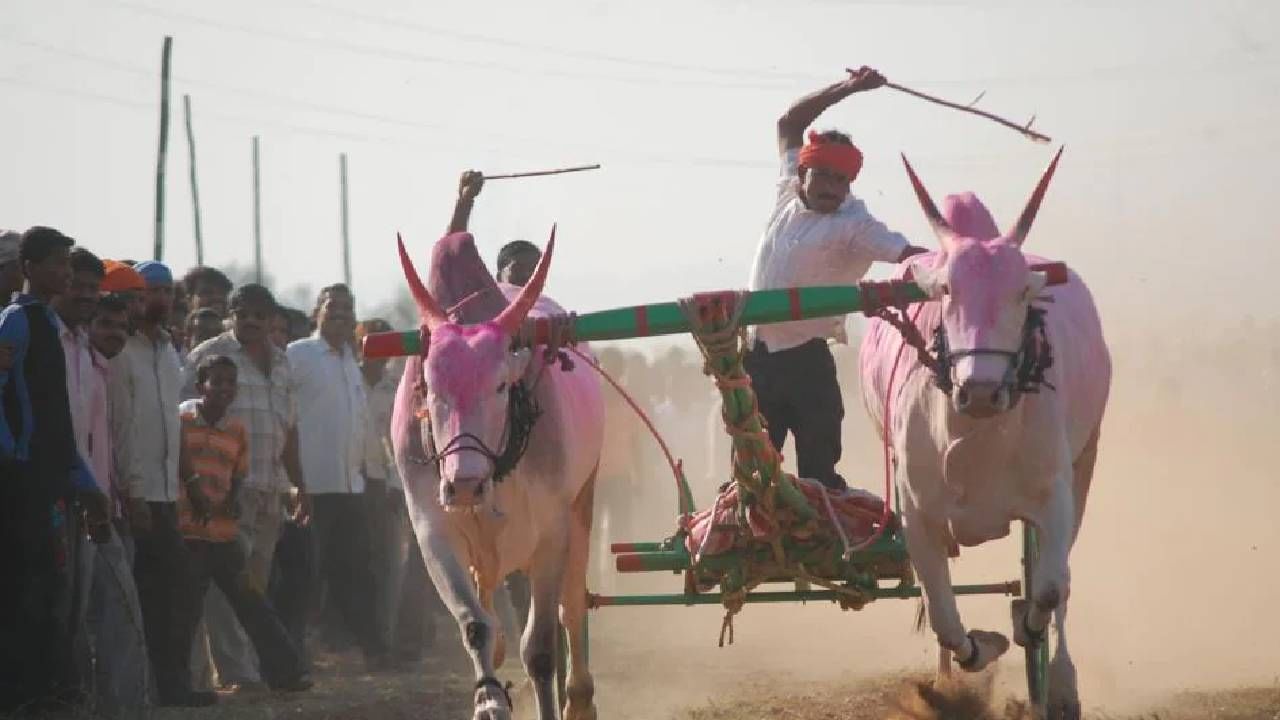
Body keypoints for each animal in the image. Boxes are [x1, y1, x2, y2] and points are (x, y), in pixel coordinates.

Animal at [389, 229, 604, 717]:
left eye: (502, 385)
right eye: (431, 389)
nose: (464, 485)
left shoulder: (552, 536)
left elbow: (541, 647)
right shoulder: (432, 533)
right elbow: (475, 626)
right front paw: (489, 701)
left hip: (583, 505)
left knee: (572, 607)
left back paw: (579, 699)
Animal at [860, 147, 1111, 717]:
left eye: (1022, 292)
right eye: (946, 290)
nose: (979, 391)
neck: (974, 439)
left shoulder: (1055, 496)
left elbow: (1048, 590)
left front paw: (1031, 639)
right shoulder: (917, 514)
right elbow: (943, 616)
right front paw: (973, 657)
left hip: (1086, 461)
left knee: (1060, 583)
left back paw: (1061, 681)